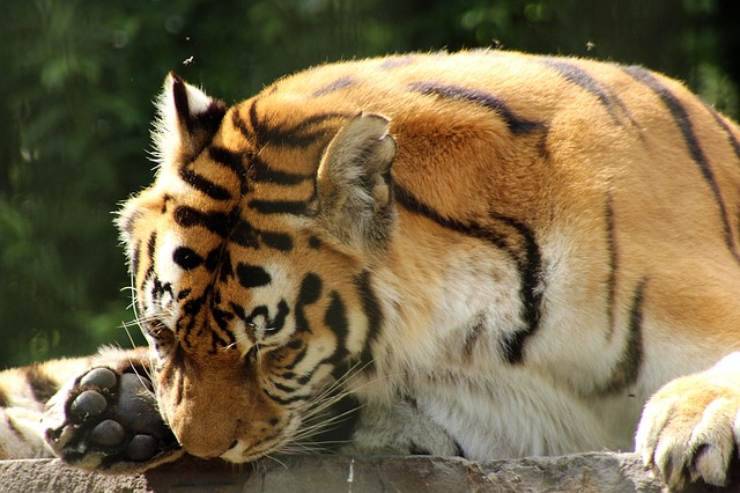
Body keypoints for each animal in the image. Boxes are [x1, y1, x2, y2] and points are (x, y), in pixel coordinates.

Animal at [1, 49, 739, 490]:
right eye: (160, 334)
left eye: (273, 350)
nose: (203, 450)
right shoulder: (496, 415)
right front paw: (123, 408)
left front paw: (693, 420)